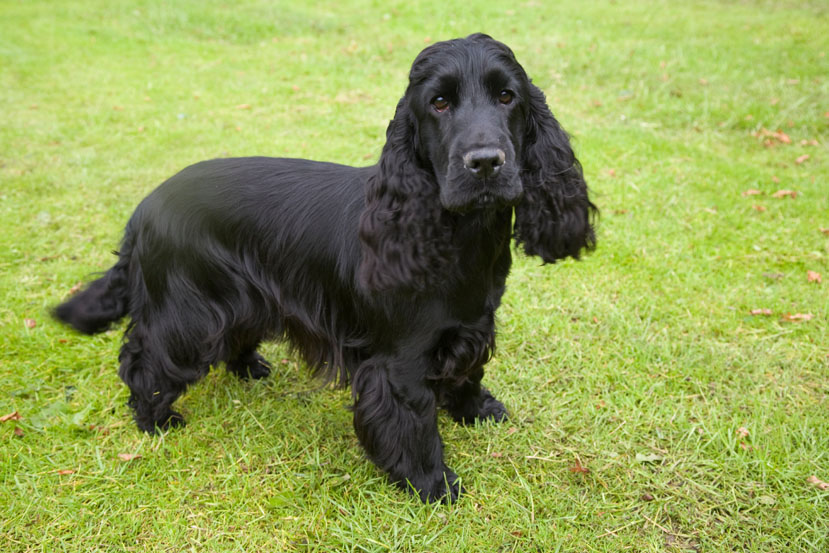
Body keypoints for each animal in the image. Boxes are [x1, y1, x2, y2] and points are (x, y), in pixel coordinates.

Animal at [53, 33, 596, 500]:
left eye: (507, 96)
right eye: (439, 103)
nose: (485, 162)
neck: (456, 235)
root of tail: (145, 206)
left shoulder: (472, 326)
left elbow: (469, 372)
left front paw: (477, 411)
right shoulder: (398, 364)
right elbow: (416, 424)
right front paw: (432, 484)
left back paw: (248, 367)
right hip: (187, 311)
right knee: (144, 356)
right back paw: (154, 419)